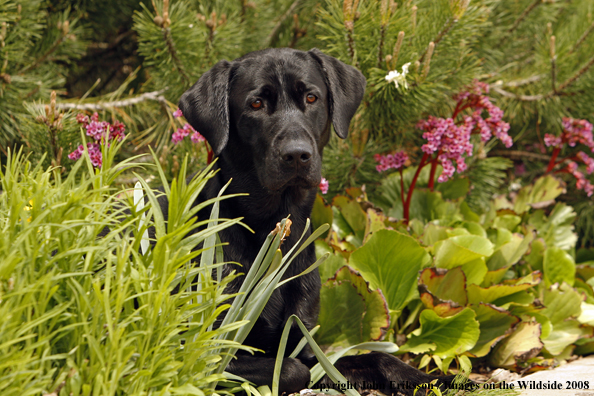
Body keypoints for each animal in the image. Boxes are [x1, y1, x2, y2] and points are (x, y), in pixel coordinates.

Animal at [176, 48, 454, 394]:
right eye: (255, 104)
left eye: (311, 97)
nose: (297, 154)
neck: (273, 233)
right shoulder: (207, 355)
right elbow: (293, 370)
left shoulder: (306, 342)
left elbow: (378, 358)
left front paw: (431, 378)